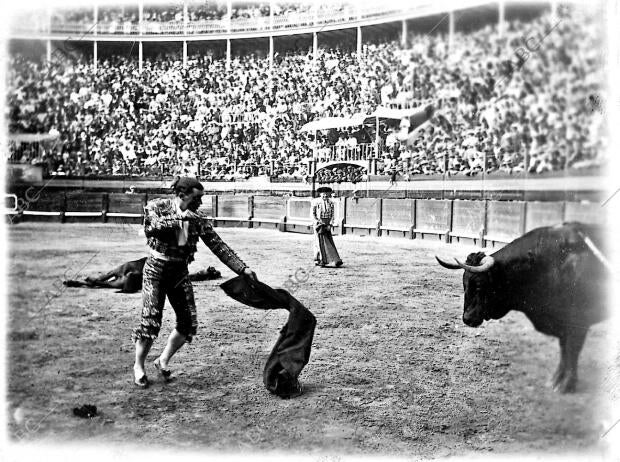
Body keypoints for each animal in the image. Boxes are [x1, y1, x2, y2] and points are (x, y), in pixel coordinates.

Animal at [436, 223, 612, 394]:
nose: (467, 318)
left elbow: (572, 350)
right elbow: (564, 350)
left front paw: (566, 384)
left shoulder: (578, 322)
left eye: (479, 285)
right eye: (464, 284)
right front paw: (556, 379)